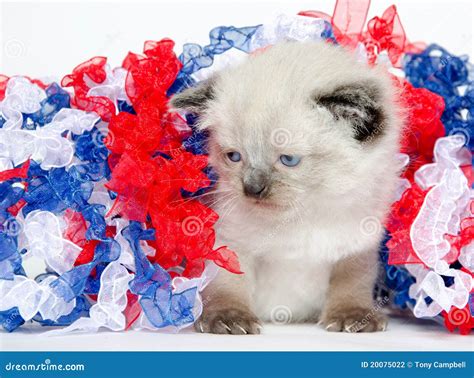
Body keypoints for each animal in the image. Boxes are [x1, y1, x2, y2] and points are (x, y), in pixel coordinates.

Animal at [172, 40, 402, 334]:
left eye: (288, 160)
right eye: (234, 156)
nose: (251, 188)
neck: (303, 217)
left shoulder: (356, 248)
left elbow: (351, 283)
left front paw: (354, 317)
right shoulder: (230, 243)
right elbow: (228, 285)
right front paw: (229, 319)